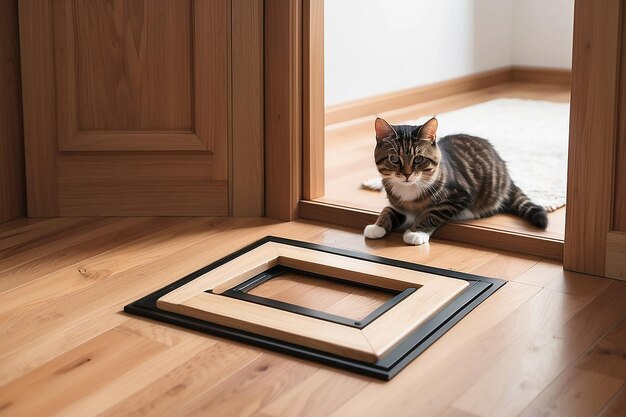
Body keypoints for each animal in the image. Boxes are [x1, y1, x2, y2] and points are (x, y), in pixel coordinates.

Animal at [364, 116, 544, 244]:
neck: (409, 188)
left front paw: (416, 233)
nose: (407, 175)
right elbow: (388, 210)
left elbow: (431, 213)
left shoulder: (457, 196)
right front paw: (377, 227)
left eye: (419, 159)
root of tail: (507, 175)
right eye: (394, 159)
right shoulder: (399, 203)